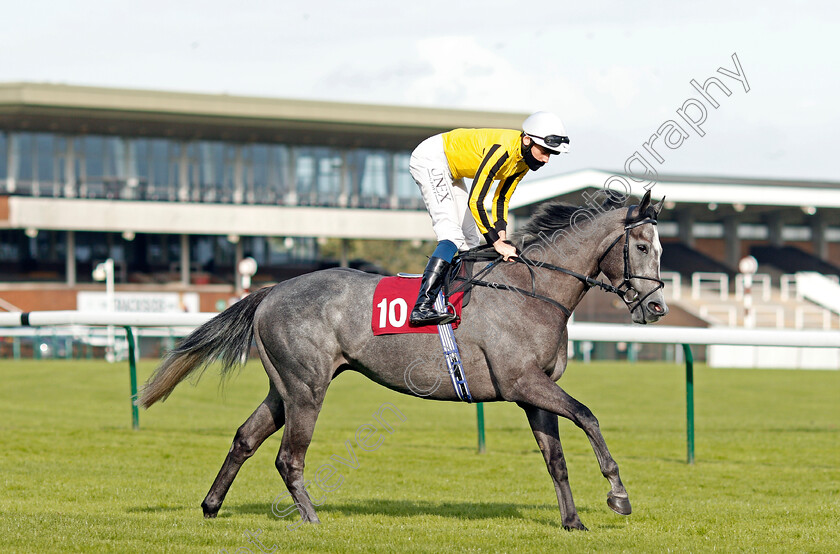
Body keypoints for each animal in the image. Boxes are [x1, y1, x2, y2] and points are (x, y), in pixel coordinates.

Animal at [138, 191, 668, 532]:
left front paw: (573, 521)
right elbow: (588, 415)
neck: (532, 292)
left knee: (246, 438)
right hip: (307, 389)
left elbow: (555, 457)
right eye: (642, 246)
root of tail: (271, 290)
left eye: (660, 247)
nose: (657, 307)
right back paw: (311, 519)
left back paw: (211, 506)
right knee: (289, 457)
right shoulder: (522, 382)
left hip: (283, 389)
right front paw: (618, 495)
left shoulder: (534, 393)